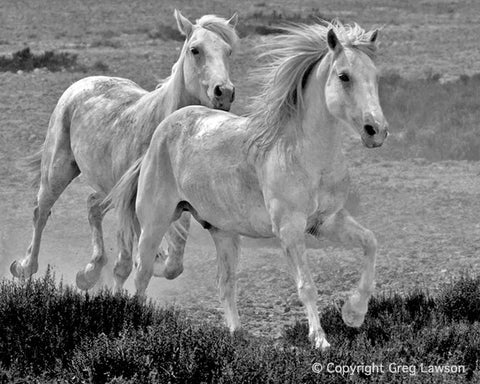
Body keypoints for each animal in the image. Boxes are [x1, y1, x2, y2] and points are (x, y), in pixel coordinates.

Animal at [12, 9, 240, 292]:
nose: (224, 93)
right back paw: (25, 267)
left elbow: (172, 264)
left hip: (108, 188)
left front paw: (156, 259)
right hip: (57, 171)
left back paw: (89, 272)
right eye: (195, 50)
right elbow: (125, 264)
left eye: (228, 51)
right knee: (41, 212)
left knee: (92, 206)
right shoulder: (131, 207)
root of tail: (84, 82)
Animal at [108, 21, 386, 352]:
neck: (306, 155)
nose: (376, 131)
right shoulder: (290, 229)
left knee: (224, 283)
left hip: (222, 231)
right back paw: (138, 325)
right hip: (155, 221)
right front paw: (320, 340)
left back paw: (236, 334)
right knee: (142, 272)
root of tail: (160, 134)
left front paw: (354, 314)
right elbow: (306, 285)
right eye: (344, 76)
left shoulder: (327, 221)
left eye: (375, 75)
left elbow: (370, 243)